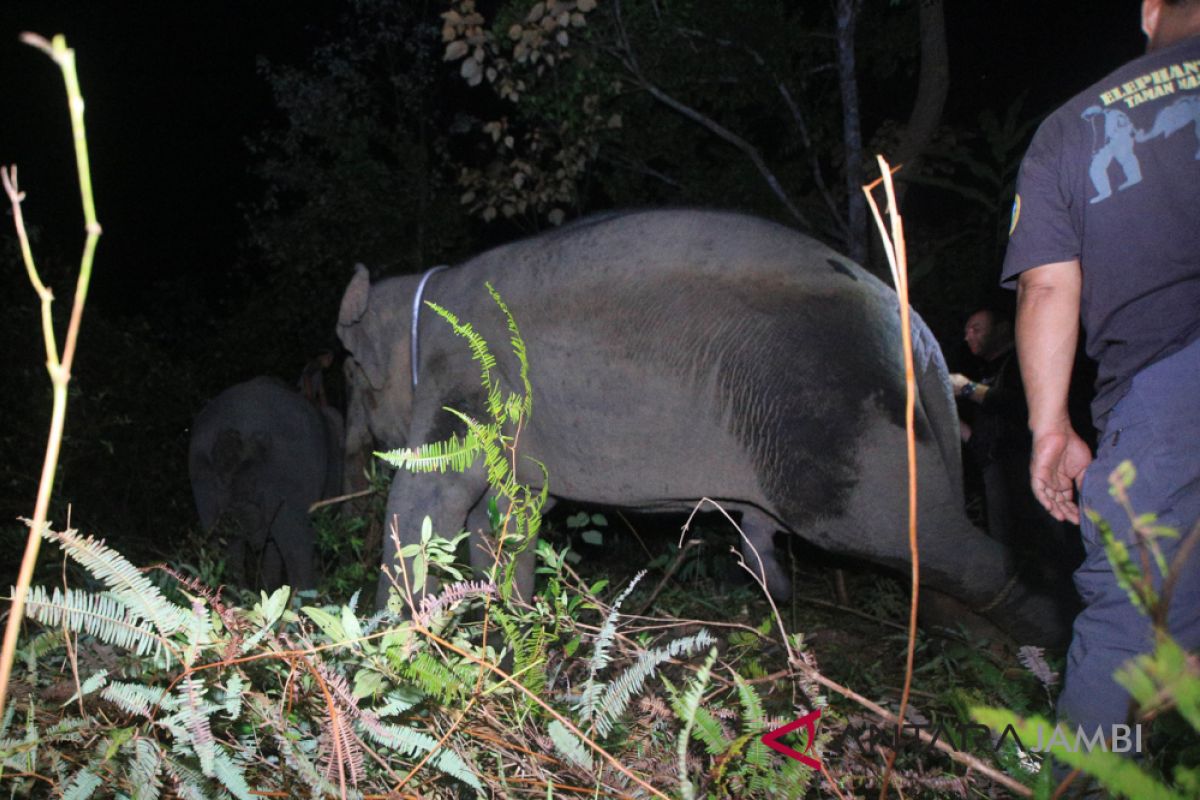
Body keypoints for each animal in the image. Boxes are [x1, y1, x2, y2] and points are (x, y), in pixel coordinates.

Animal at [338, 211, 1070, 642]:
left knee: (921, 542)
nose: (352, 455)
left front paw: (383, 634)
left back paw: (1046, 653)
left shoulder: (469, 373)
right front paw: (516, 625)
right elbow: (509, 514)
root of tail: (920, 335)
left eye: (346, 376)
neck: (420, 292)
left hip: (844, 429)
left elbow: (431, 494)